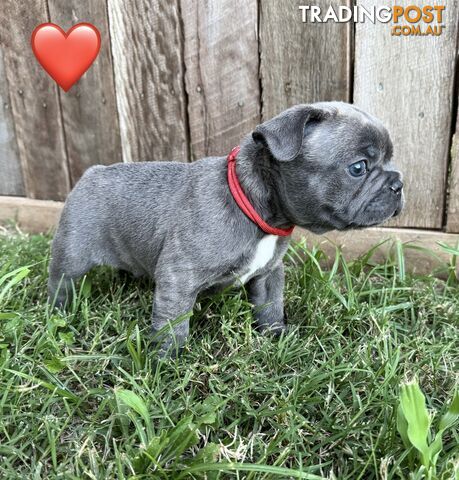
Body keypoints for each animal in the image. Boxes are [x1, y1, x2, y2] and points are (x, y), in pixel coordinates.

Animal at [48, 101, 404, 356]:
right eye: (358, 167)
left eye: (389, 160)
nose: (398, 183)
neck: (252, 205)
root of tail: (91, 172)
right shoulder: (179, 277)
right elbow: (173, 324)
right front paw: (166, 361)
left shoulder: (269, 274)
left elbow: (271, 306)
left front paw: (276, 336)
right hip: (72, 255)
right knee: (62, 283)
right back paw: (58, 312)